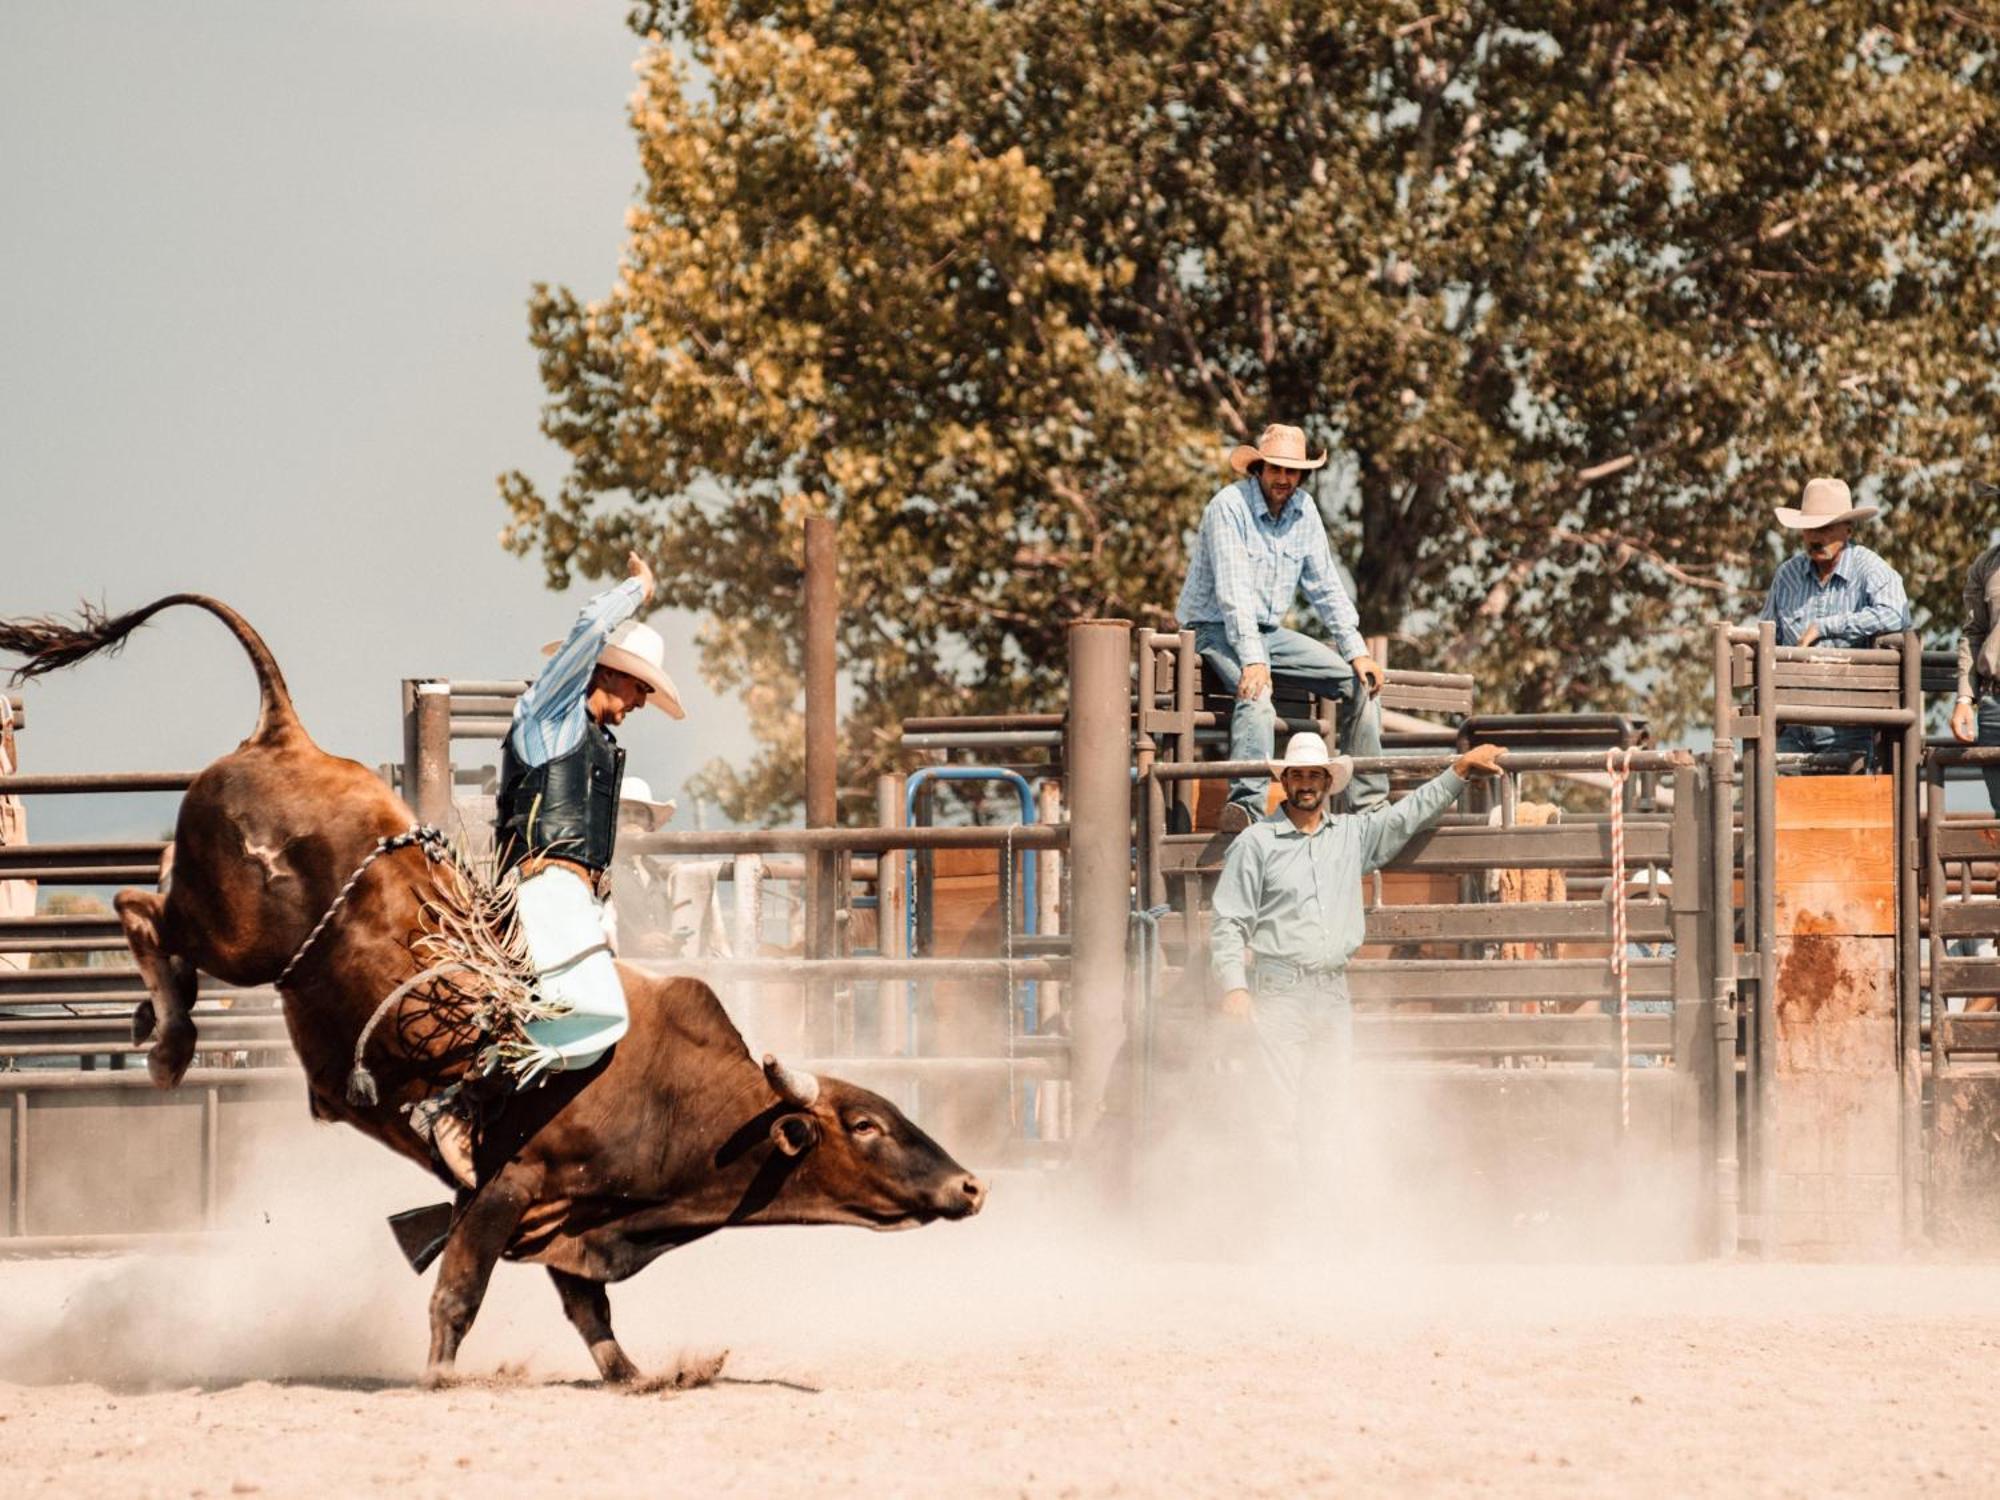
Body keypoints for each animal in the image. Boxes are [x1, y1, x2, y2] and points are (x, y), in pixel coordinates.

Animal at [0, 596, 984, 1384]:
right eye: (865, 1125)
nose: (972, 1187)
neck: (674, 1096)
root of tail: (288, 736)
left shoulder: (570, 1220)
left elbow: (590, 1313)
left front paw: (641, 1376)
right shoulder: (510, 1189)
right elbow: (458, 1292)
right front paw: (440, 1377)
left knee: (151, 901)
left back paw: (153, 1021)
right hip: (239, 934)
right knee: (140, 909)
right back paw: (168, 1042)